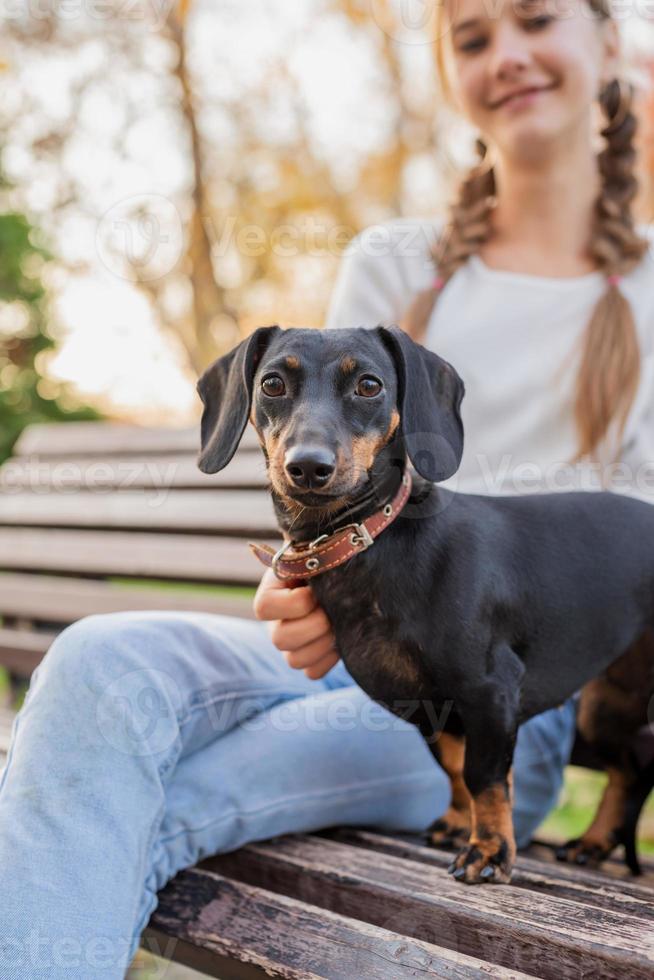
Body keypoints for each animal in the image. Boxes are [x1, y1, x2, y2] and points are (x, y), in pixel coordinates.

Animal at [195, 326, 654, 884]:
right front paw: (458, 825)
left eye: (369, 385)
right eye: (272, 384)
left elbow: (484, 776)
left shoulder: (490, 691)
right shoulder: (432, 709)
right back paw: (594, 843)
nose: (307, 467)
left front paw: (489, 850)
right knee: (629, 769)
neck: (373, 540)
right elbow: (454, 770)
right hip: (606, 705)